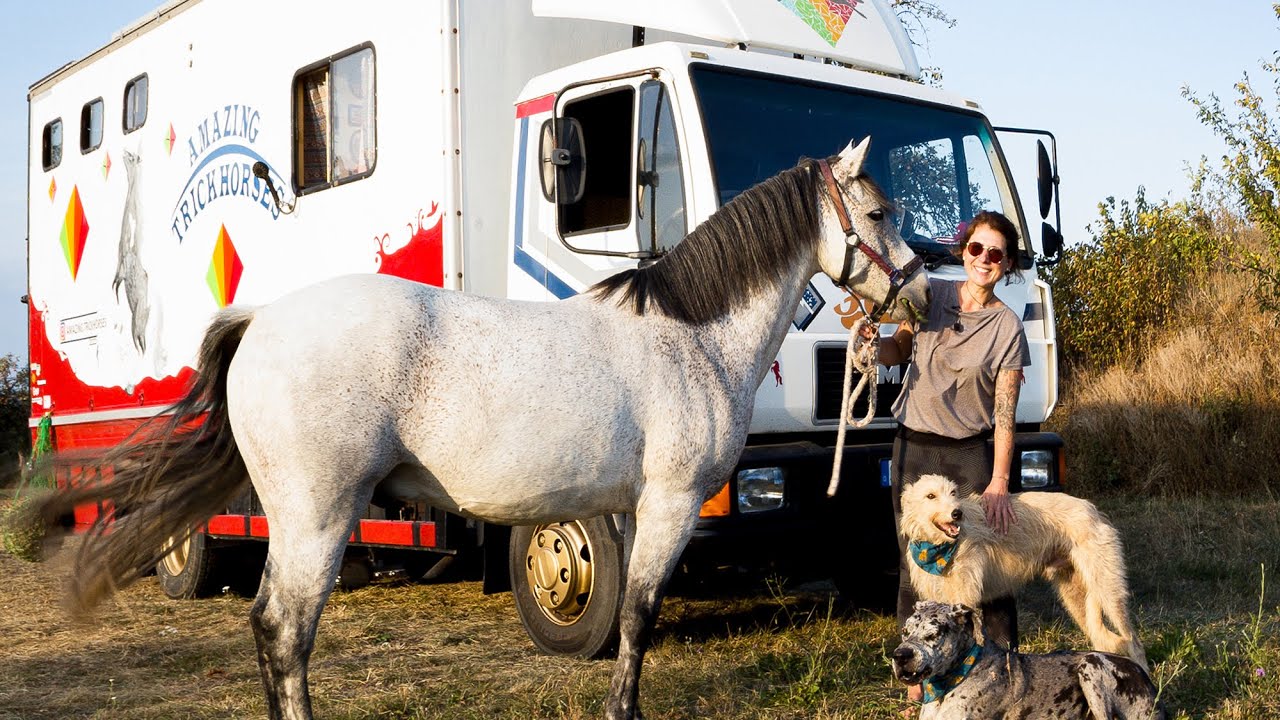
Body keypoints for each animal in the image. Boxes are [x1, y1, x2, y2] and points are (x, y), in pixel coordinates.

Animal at [37, 136, 929, 720]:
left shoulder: (633, 507)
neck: (693, 338)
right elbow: (640, 616)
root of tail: (261, 321)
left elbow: (632, 618)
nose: (922, 295)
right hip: (315, 518)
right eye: (881, 210)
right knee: (285, 632)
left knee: (269, 629)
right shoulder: (670, 505)